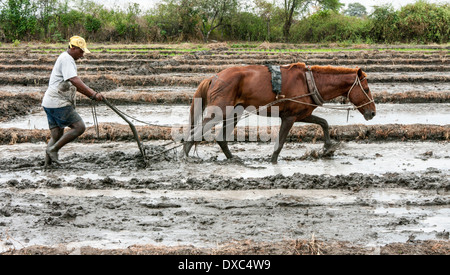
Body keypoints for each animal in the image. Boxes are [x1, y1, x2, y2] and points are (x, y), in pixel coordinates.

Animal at [183, 62, 376, 164]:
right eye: (366, 89)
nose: (373, 113)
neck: (309, 83)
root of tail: (214, 77)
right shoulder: (289, 118)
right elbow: (280, 143)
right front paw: (273, 161)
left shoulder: (301, 114)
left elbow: (324, 123)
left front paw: (328, 148)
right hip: (219, 112)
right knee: (195, 132)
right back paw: (183, 157)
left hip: (234, 113)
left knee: (221, 138)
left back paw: (233, 159)